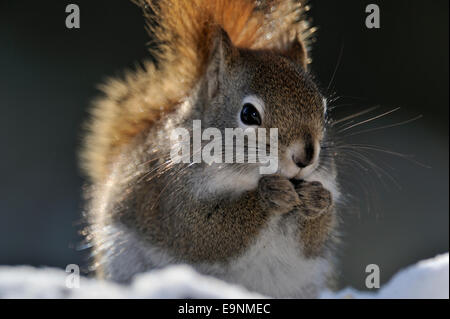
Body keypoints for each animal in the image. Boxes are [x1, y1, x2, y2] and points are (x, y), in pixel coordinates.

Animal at [81, 0, 342, 300]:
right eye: (249, 114)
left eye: (324, 110)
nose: (304, 157)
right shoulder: (173, 197)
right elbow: (205, 232)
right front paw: (269, 195)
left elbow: (314, 240)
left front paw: (318, 200)